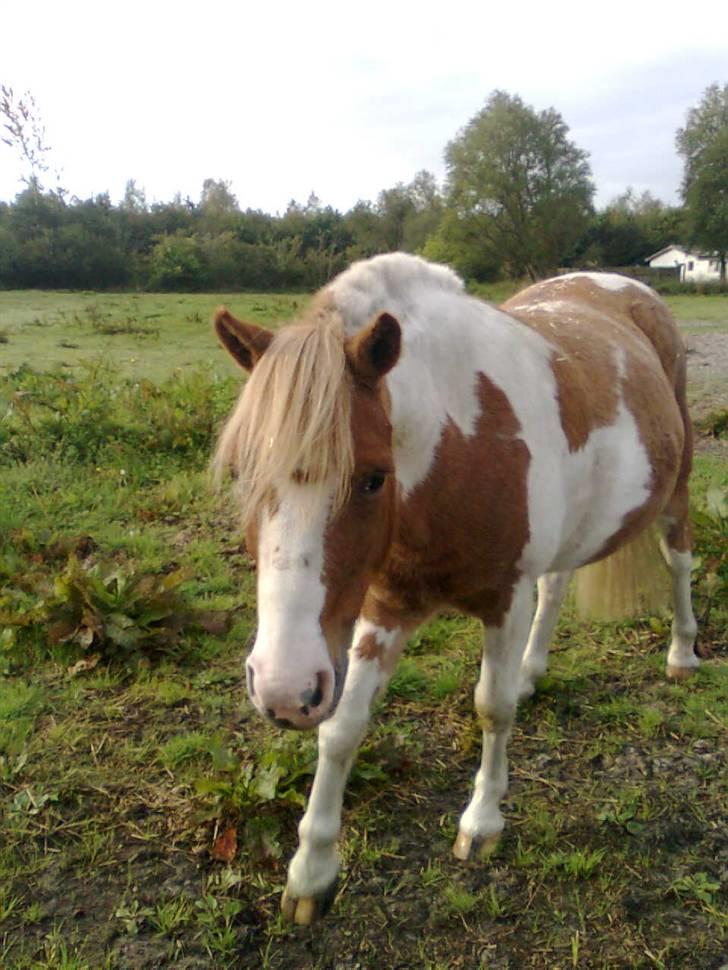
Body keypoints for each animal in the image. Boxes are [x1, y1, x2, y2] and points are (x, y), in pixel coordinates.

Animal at [212, 250, 700, 924]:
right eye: (242, 472)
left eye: (373, 477)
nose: (285, 692)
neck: (457, 451)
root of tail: (630, 289)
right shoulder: (382, 609)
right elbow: (342, 731)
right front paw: (311, 872)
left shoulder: (503, 601)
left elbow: (492, 709)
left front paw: (482, 823)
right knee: (557, 585)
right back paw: (532, 670)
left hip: (675, 491)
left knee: (678, 563)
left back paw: (682, 653)